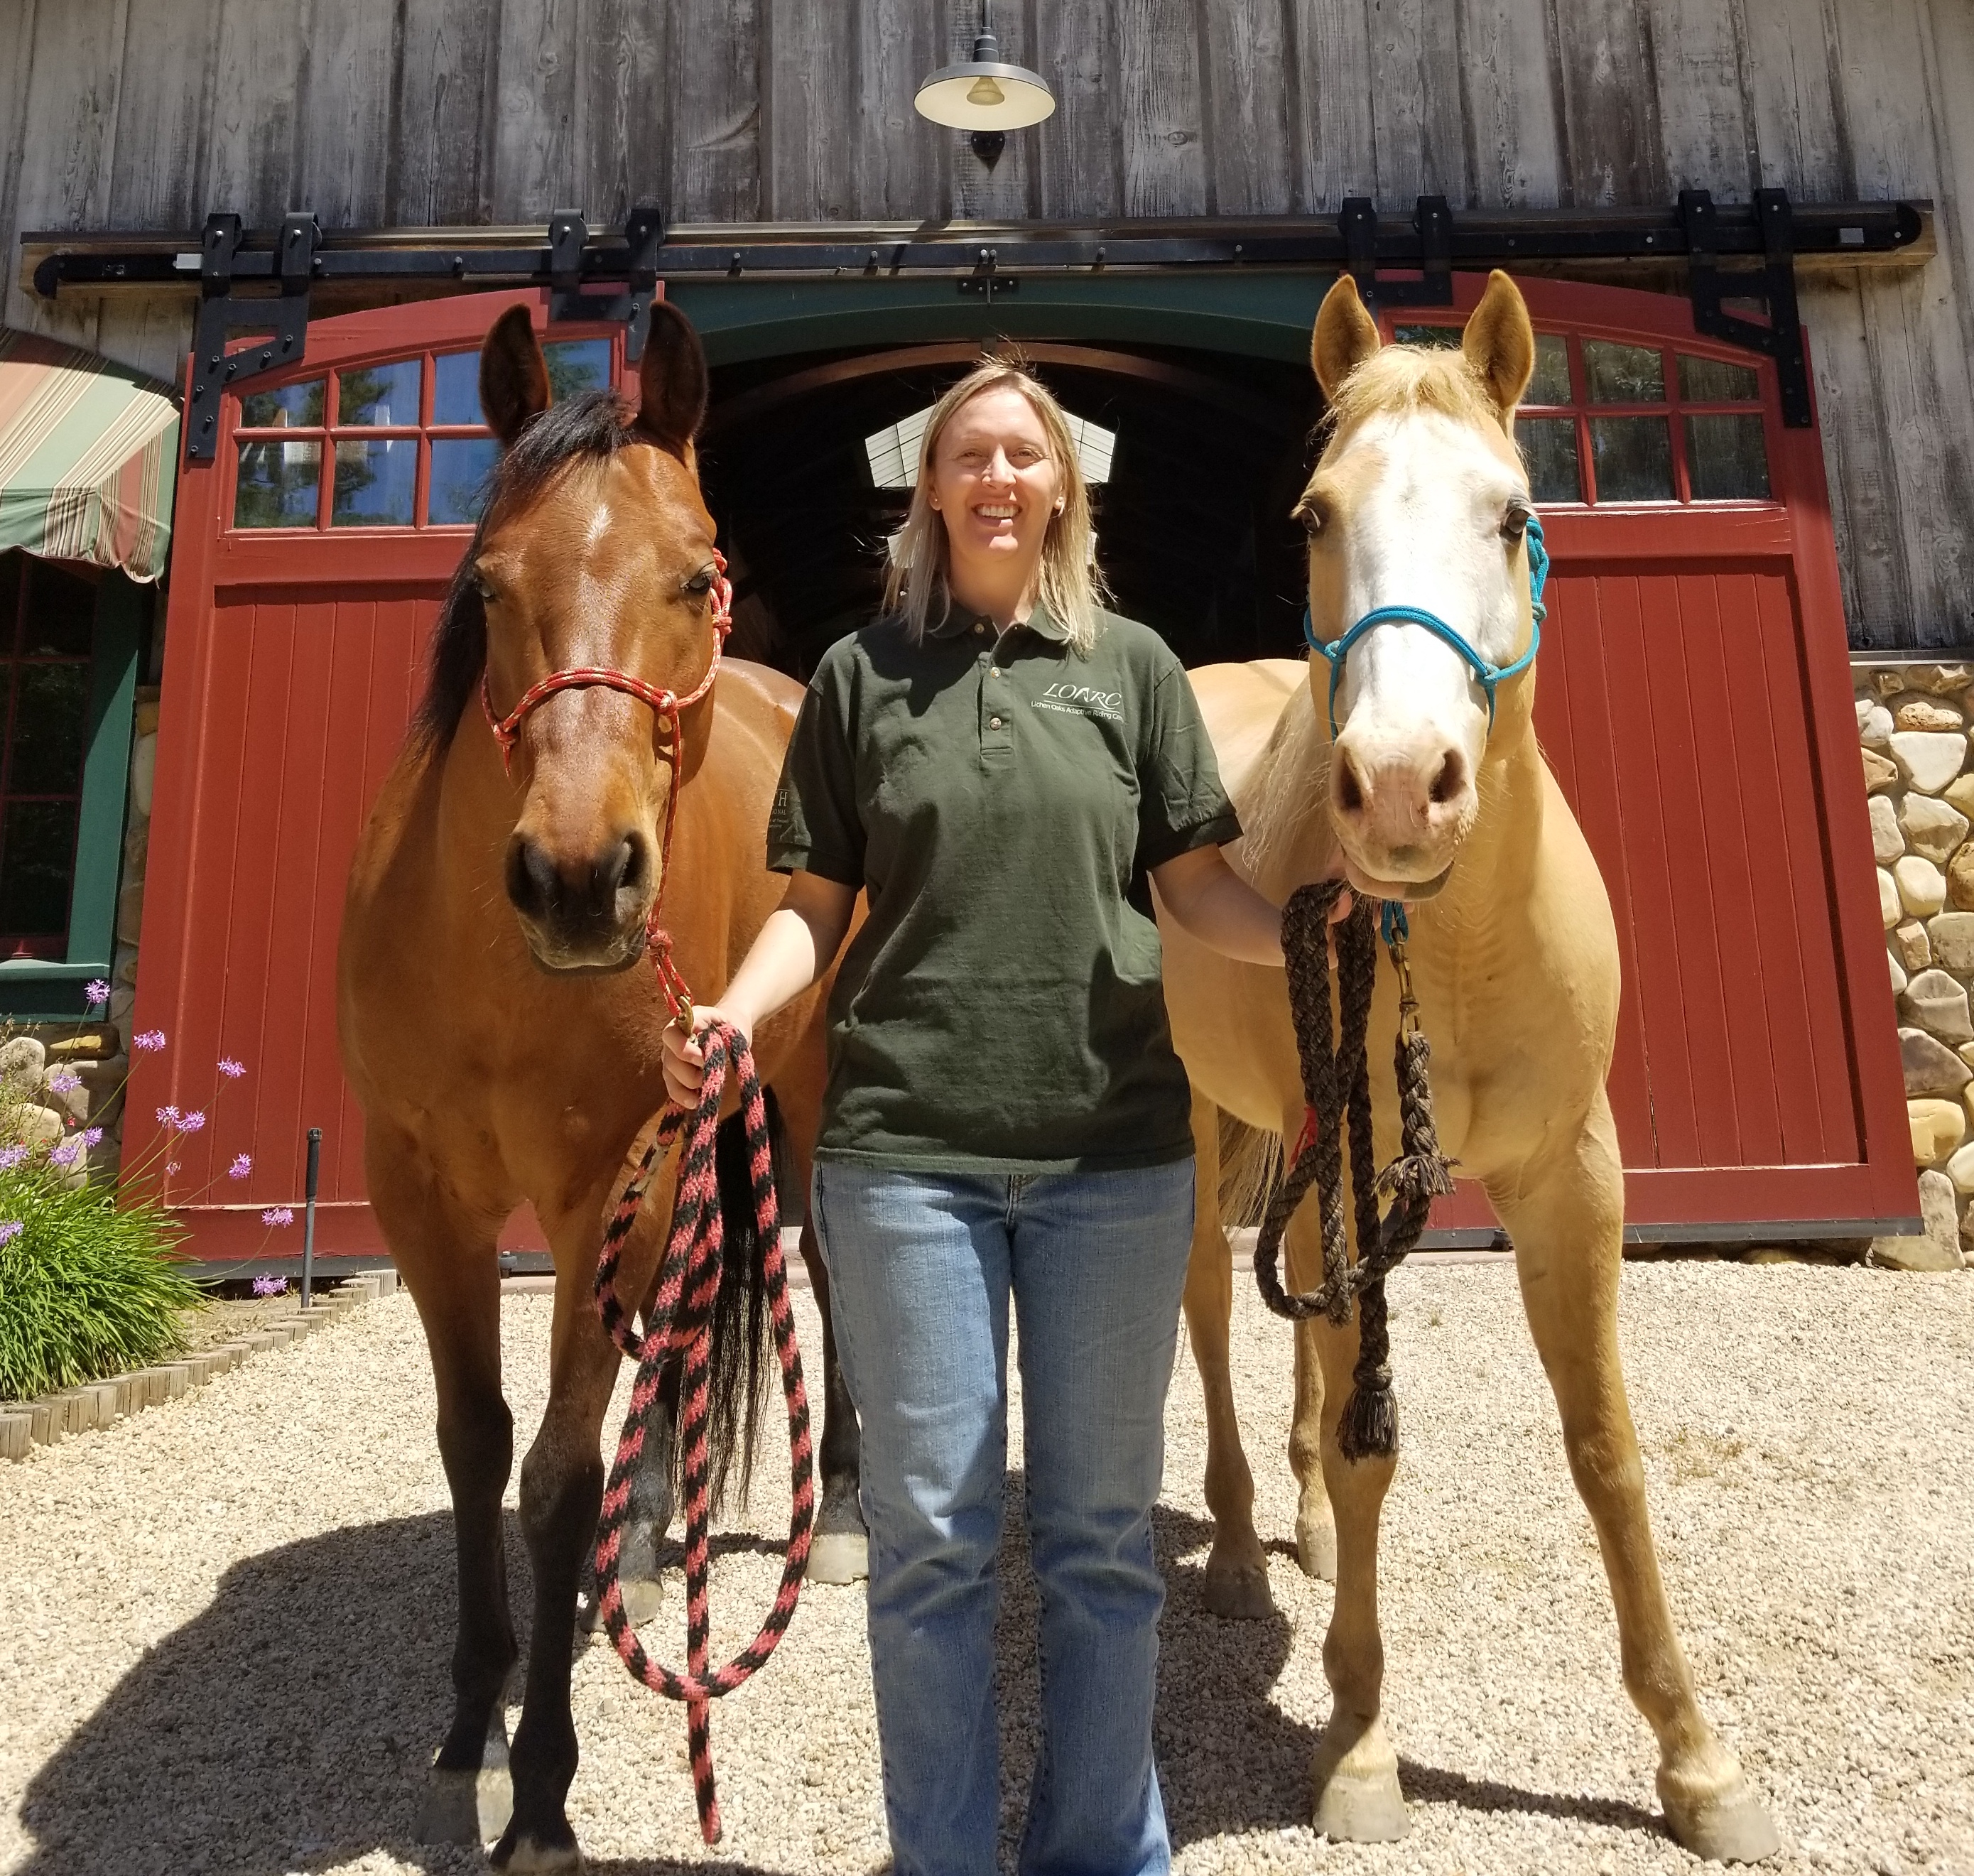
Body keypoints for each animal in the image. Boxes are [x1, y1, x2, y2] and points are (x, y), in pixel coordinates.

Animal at [335, 300, 860, 1872]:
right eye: (491, 582)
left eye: (697, 572)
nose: (577, 877)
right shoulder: (416, 1190)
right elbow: (474, 1443)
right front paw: (468, 1728)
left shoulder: (602, 1188)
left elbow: (558, 1475)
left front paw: (544, 1798)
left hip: (798, 1098)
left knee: (824, 1266)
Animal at [1161, 269, 1784, 1864]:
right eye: (1316, 513)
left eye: (1511, 511)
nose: (1396, 786)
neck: (1449, 941)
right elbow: (1372, 1444)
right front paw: (1360, 1745)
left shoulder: (1571, 1176)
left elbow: (1605, 1448)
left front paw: (1697, 1762)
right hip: (1200, 1127)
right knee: (1211, 1310)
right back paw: (1244, 1553)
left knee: (1300, 1339)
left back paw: (1307, 1536)